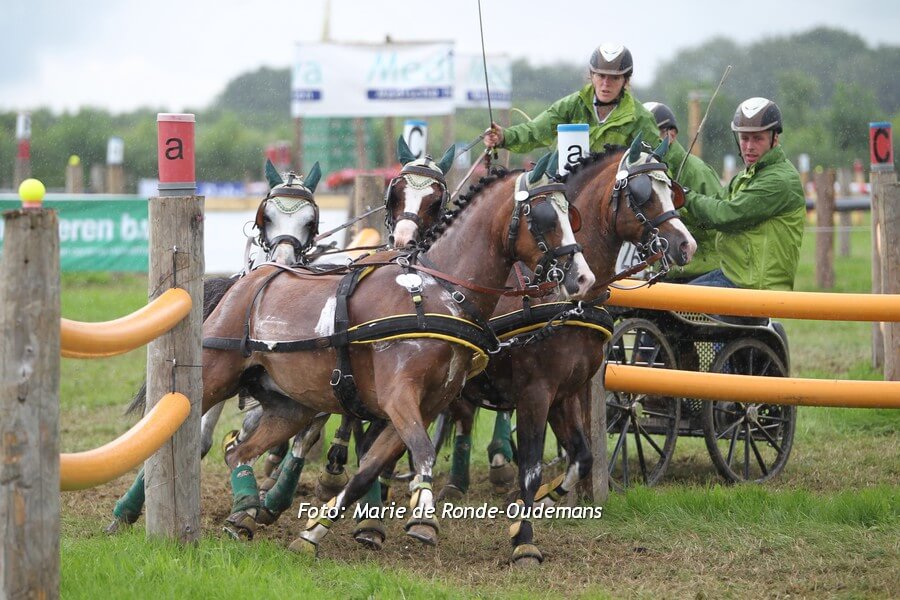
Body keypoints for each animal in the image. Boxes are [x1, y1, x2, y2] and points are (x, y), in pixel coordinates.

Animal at [199, 160, 595, 555]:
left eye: (572, 215)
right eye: (543, 217)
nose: (583, 278)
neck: (439, 291)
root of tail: (248, 281)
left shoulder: (428, 404)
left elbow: (369, 469)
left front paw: (314, 532)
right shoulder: (399, 395)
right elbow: (423, 451)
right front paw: (423, 518)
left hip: (290, 406)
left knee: (239, 452)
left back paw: (244, 511)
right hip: (216, 376)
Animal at [438, 137, 696, 565]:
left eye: (672, 189)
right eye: (644, 194)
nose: (686, 244)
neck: (563, 301)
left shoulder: (566, 392)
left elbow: (583, 456)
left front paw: (543, 499)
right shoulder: (535, 392)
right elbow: (530, 466)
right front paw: (524, 540)